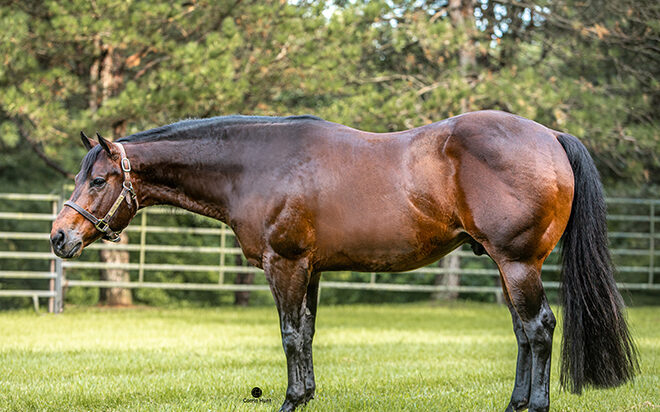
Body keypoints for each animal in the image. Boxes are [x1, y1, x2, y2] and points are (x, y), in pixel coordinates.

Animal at [51, 110, 640, 412]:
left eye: (98, 180)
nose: (59, 237)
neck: (255, 164)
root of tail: (550, 136)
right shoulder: (309, 268)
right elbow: (307, 334)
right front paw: (307, 396)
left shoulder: (285, 264)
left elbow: (290, 335)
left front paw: (290, 401)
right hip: (507, 265)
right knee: (523, 332)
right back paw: (516, 403)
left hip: (518, 263)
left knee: (539, 328)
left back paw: (534, 406)